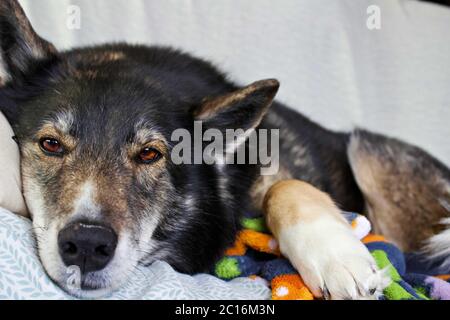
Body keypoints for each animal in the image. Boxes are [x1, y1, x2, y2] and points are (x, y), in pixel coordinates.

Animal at [0, 0, 448, 300]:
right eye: (50, 144)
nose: (87, 245)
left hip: (367, 154)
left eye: (150, 154)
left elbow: (282, 188)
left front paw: (338, 258)